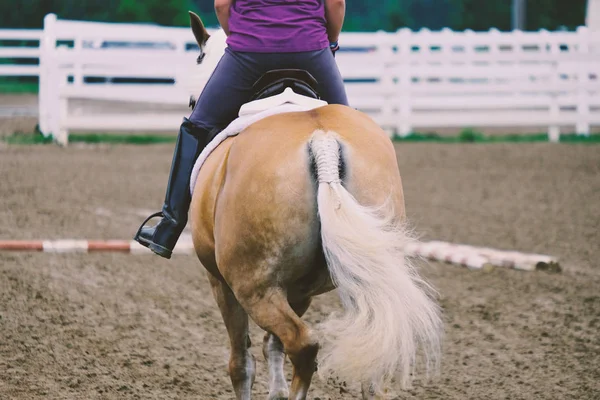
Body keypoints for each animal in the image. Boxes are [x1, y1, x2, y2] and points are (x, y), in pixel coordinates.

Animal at [185, 10, 442, 398]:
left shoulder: (222, 283)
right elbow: (271, 346)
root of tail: (322, 142)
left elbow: (241, 362)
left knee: (302, 345)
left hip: (253, 287)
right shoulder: (298, 289)